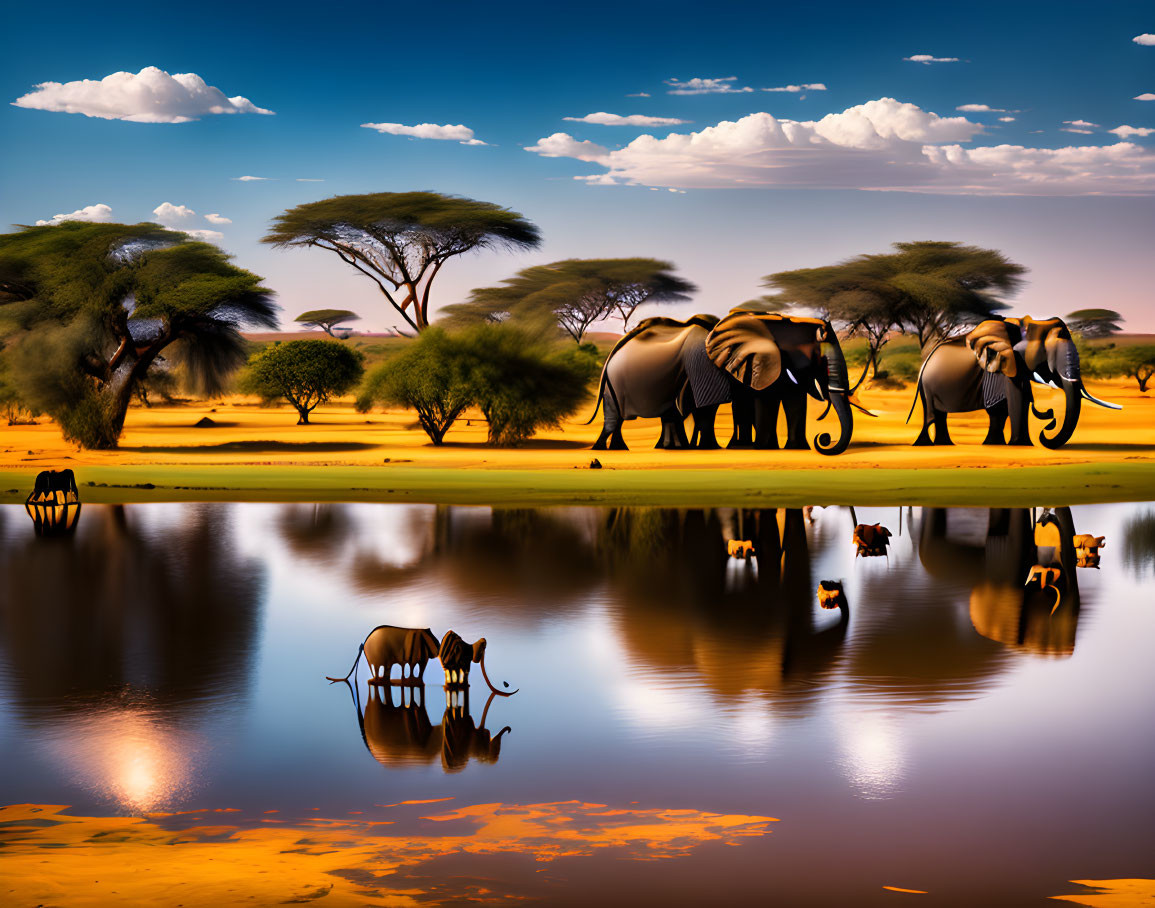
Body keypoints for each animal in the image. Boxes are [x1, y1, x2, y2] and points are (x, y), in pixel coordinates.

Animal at [595, 309, 859, 452]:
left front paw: (794, 449)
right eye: (820, 354)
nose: (824, 439)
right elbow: (715, 405)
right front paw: (759, 449)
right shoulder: (706, 367)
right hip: (615, 384)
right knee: (617, 417)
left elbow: (790, 399)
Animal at [910, 314, 1118, 448]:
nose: (1048, 426)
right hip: (927, 386)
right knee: (931, 414)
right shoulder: (1008, 362)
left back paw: (951, 444)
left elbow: (1014, 403)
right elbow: (1017, 399)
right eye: (1046, 354)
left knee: (941, 415)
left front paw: (1003, 444)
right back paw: (925, 446)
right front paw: (1021, 445)